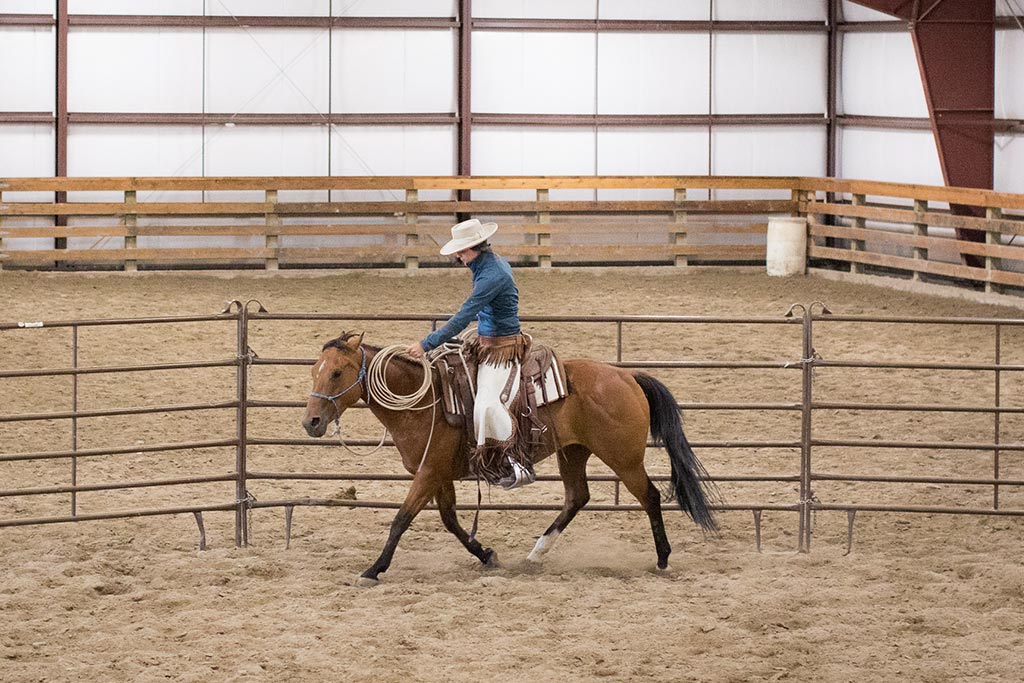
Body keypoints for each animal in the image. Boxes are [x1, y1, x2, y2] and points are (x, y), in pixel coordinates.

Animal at [301, 331, 720, 581]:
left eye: (337, 373)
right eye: (314, 371)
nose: (311, 421)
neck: (424, 400)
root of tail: (628, 377)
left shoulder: (428, 472)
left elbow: (401, 519)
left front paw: (374, 568)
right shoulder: (439, 474)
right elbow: (451, 520)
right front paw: (486, 554)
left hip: (624, 458)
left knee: (650, 496)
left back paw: (663, 558)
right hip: (574, 453)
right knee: (577, 497)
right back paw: (536, 554)